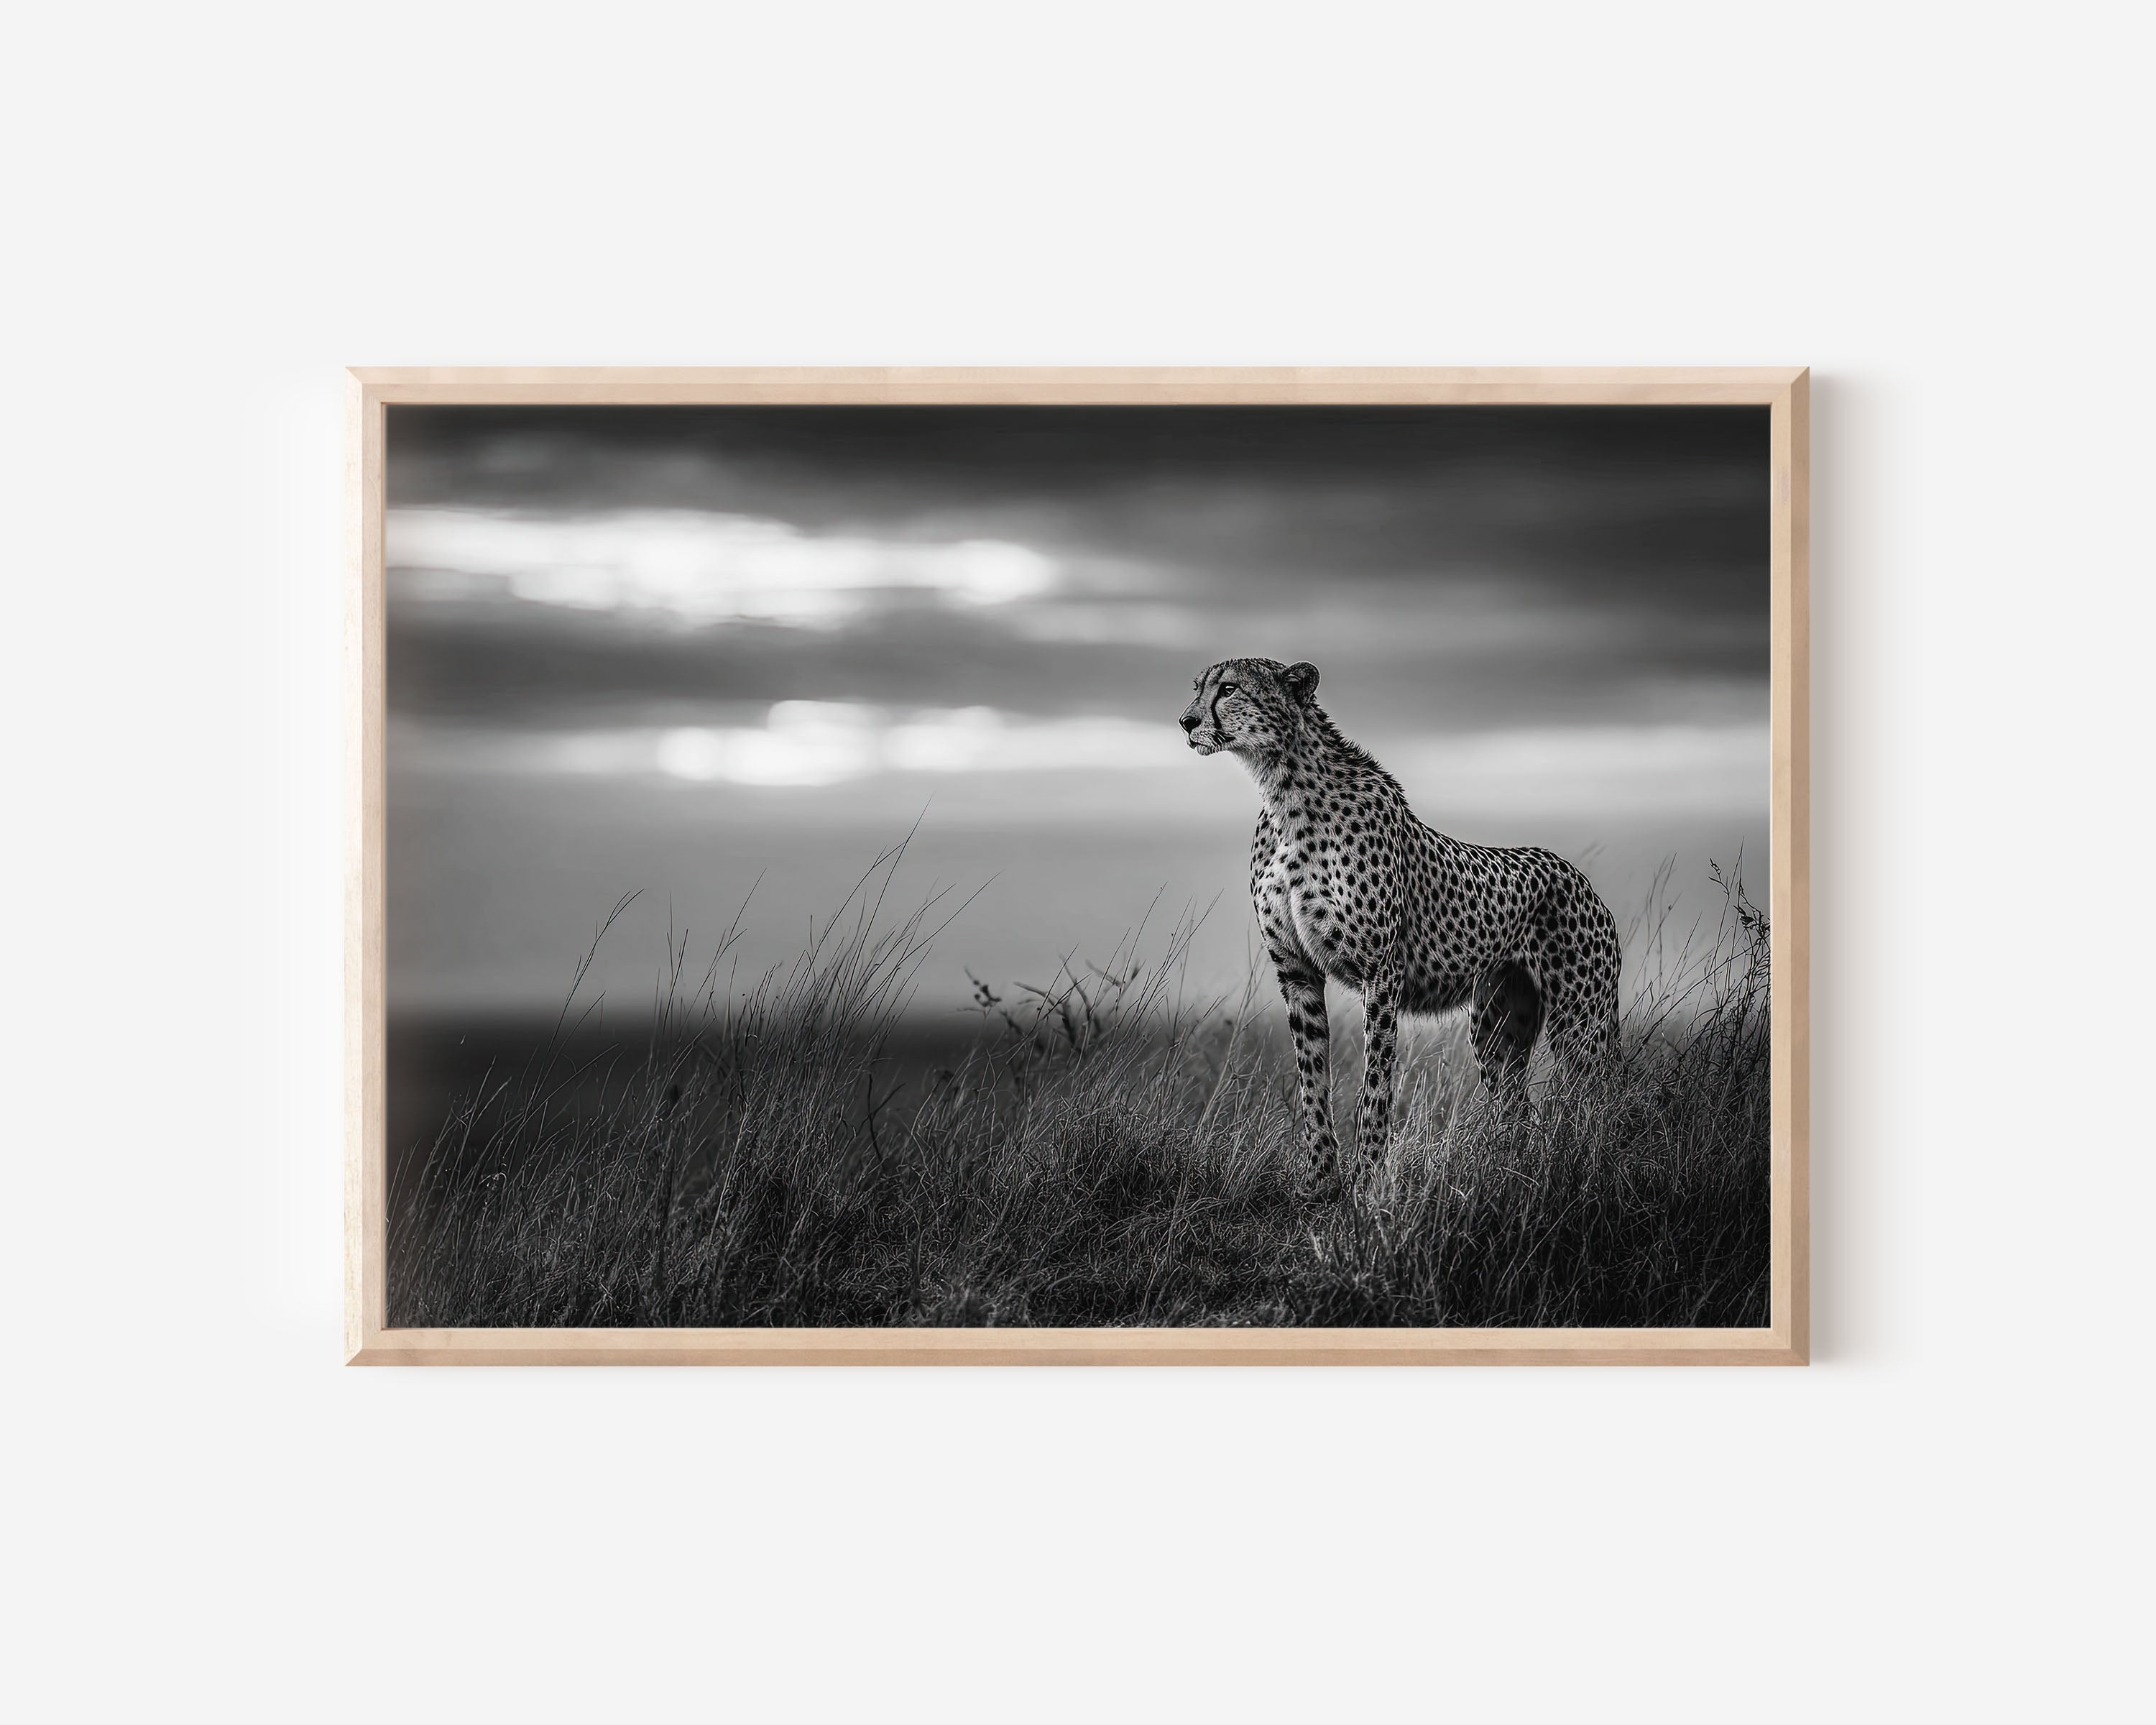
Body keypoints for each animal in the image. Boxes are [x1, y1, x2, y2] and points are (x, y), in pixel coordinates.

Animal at [1179, 656, 1621, 1199]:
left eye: (1229, 689)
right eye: (1198, 687)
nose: (1186, 721)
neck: (1283, 790)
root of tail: (1580, 878)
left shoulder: (1380, 974)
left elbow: (1376, 1086)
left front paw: (1367, 1183)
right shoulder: (1297, 972)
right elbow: (1312, 1079)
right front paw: (1320, 1180)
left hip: (1579, 1022)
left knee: (1599, 1102)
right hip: (1496, 1028)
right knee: (1517, 1107)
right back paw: (1514, 1175)